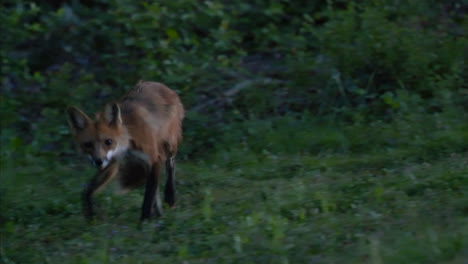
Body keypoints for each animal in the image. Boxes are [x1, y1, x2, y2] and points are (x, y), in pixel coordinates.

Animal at [67, 80, 185, 221]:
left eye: (108, 142)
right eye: (88, 144)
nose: (98, 161)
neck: (128, 142)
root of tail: (155, 82)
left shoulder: (154, 159)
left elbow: (148, 198)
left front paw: (144, 221)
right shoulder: (112, 162)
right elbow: (87, 191)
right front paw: (90, 216)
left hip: (169, 146)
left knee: (171, 166)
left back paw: (170, 196)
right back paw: (159, 213)